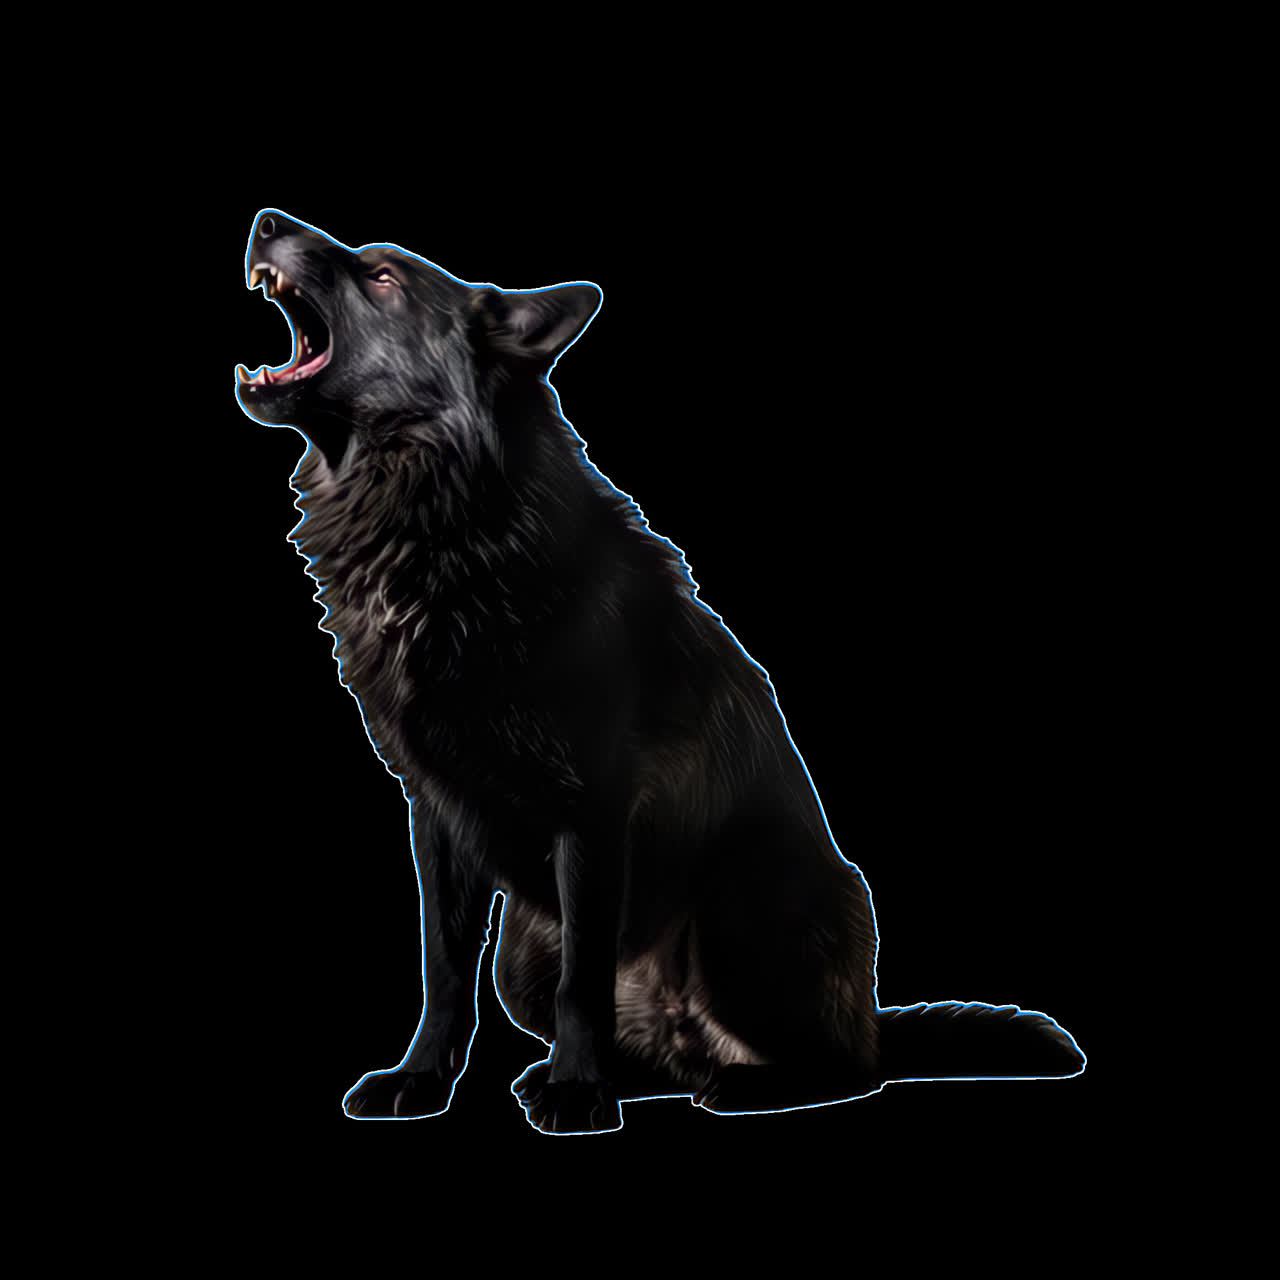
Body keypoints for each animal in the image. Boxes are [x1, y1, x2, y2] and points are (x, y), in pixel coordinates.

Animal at [235, 210, 1084, 1133]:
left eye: (382, 276)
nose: (266, 221)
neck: (434, 521)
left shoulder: (592, 808)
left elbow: (582, 982)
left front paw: (578, 1098)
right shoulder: (436, 812)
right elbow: (443, 969)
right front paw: (421, 1081)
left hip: (738, 908)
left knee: (847, 1069)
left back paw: (730, 1085)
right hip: (524, 948)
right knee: (656, 1046)